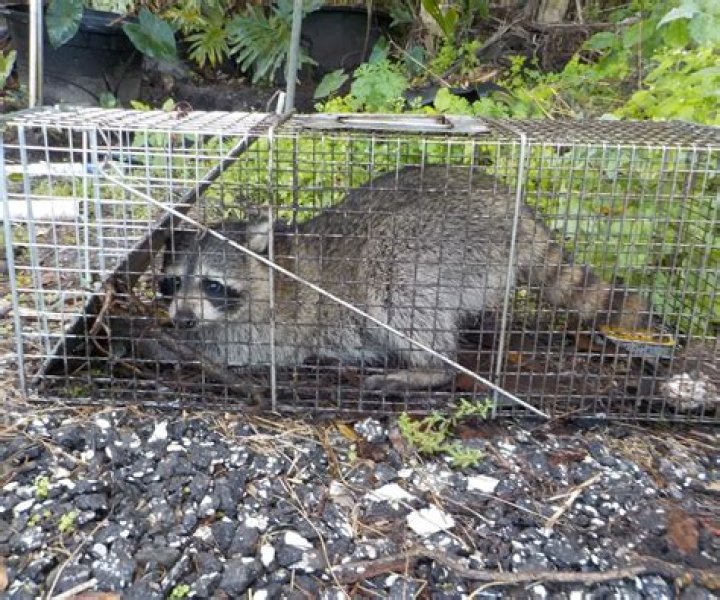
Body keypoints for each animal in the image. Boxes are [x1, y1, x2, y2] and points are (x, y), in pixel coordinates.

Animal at [160, 166, 649, 390]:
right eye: (173, 283)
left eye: (212, 285)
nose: (182, 320)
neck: (271, 267)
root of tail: (512, 208)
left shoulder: (281, 323)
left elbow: (250, 352)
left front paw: (192, 348)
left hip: (437, 242)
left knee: (398, 284)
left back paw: (430, 368)